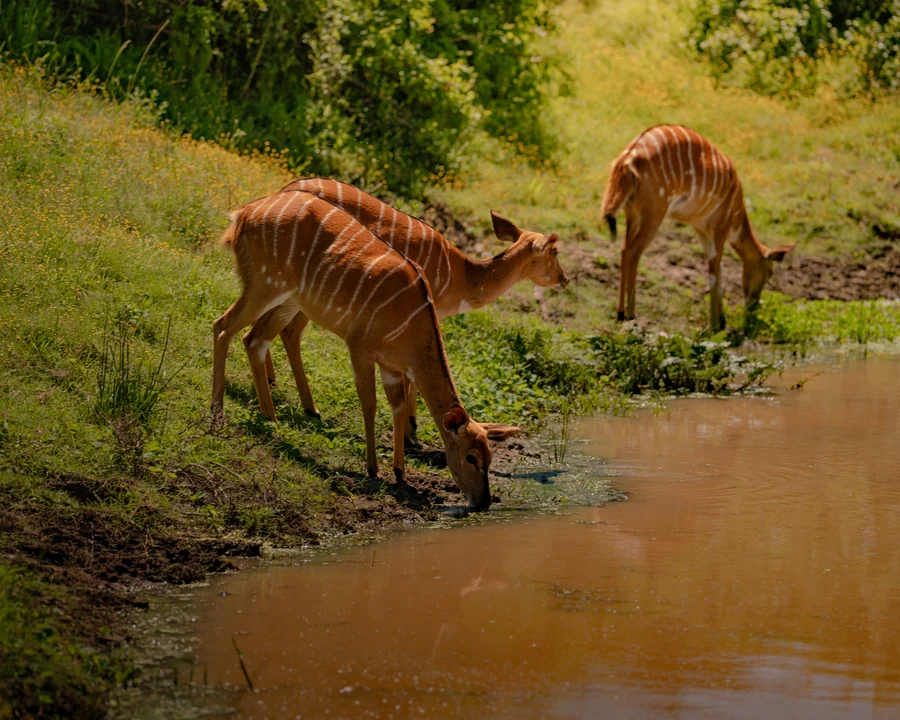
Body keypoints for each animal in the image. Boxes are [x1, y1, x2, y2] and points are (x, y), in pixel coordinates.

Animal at [212, 191, 520, 509]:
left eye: (490, 457)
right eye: (471, 457)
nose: (483, 502)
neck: (414, 323)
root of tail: (244, 213)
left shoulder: (391, 367)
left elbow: (397, 406)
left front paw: (399, 472)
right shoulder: (359, 348)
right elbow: (369, 403)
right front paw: (373, 469)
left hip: (288, 299)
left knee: (253, 339)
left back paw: (271, 419)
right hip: (265, 285)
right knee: (222, 325)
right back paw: (217, 411)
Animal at [258, 177, 569, 443]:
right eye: (555, 252)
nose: (564, 279)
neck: (462, 278)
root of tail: (283, 189)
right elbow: (411, 375)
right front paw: (411, 430)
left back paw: (278, 386)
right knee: (287, 329)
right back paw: (307, 406)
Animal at [602, 125, 795, 330]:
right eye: (769, 273)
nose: (754, 305)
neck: (737, 213)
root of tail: (626, 161)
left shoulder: (702, 230)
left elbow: (717, 269)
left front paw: (721, 321)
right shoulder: (720, 228)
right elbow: (714, 270)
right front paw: (714, 326)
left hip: (632, 213)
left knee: (624, 250)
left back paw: (620, 312)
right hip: (655, 213)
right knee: (633, 253)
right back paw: (631, 315)